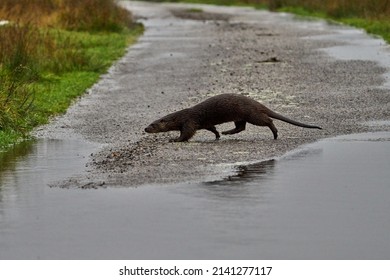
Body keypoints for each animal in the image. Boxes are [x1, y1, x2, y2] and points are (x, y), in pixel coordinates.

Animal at [145, 94, 322, 142]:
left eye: (153, 125)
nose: (145, 128)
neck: (180, 116)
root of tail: (256, 103)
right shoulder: (203, 123)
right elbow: (211, 128)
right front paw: (217, 135)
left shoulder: (189, 122)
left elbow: (187, 133)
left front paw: (174, 139)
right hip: (240, 116)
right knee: (241, 127)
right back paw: (226, 132)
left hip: (251, 114)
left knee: (267, 120)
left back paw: (275, 133)